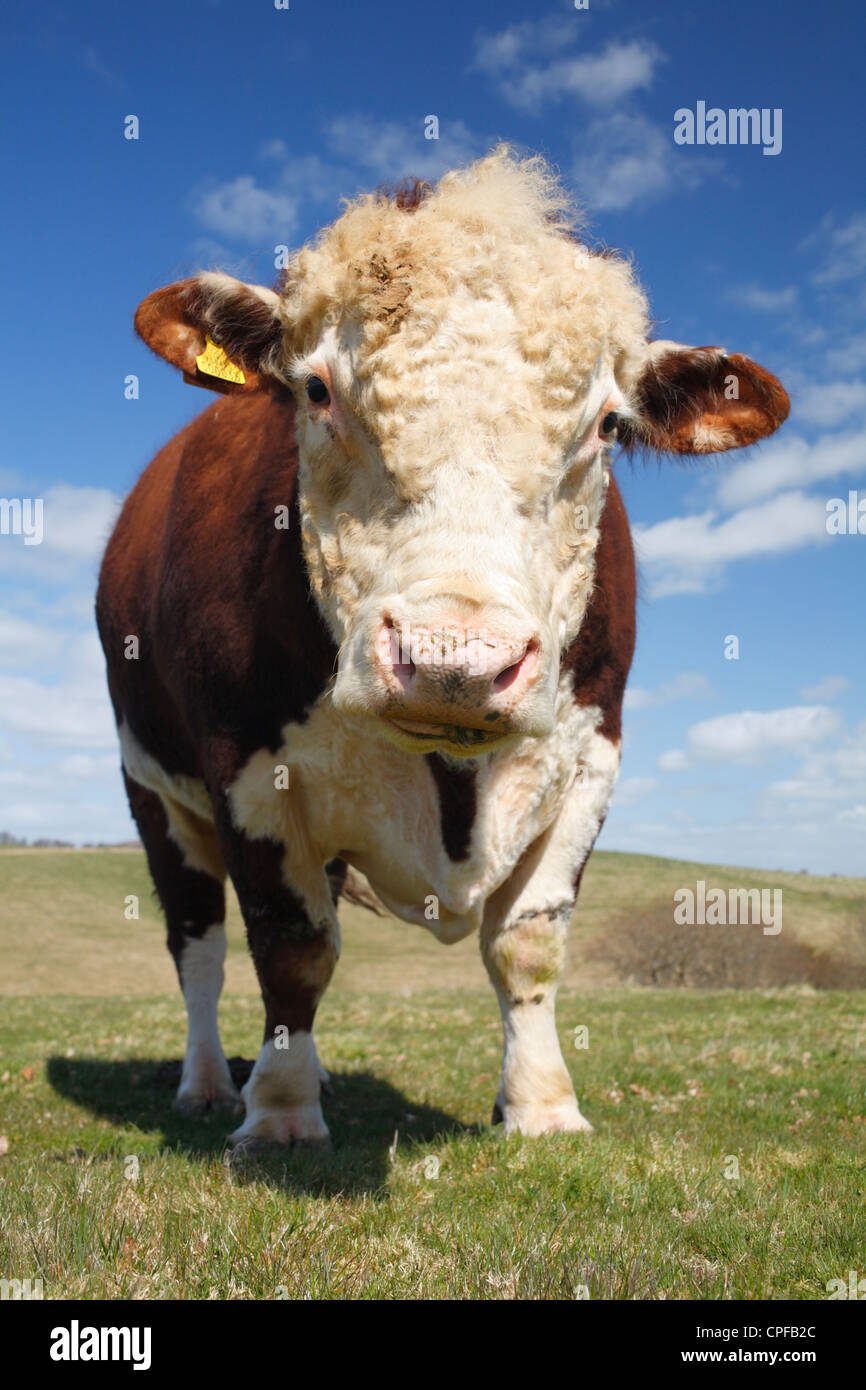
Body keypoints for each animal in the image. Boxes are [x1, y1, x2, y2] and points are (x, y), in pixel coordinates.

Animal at [97, 149, 789, 1139]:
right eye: (317, 389)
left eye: (607, 425)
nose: (454, 663)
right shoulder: (244, 770)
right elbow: (291, 946)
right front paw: (279, 1112)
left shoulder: (591, 757)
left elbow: (529, 942)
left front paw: (543, 1107)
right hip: (154, 792)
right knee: (198, 947)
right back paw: (209, 1082)